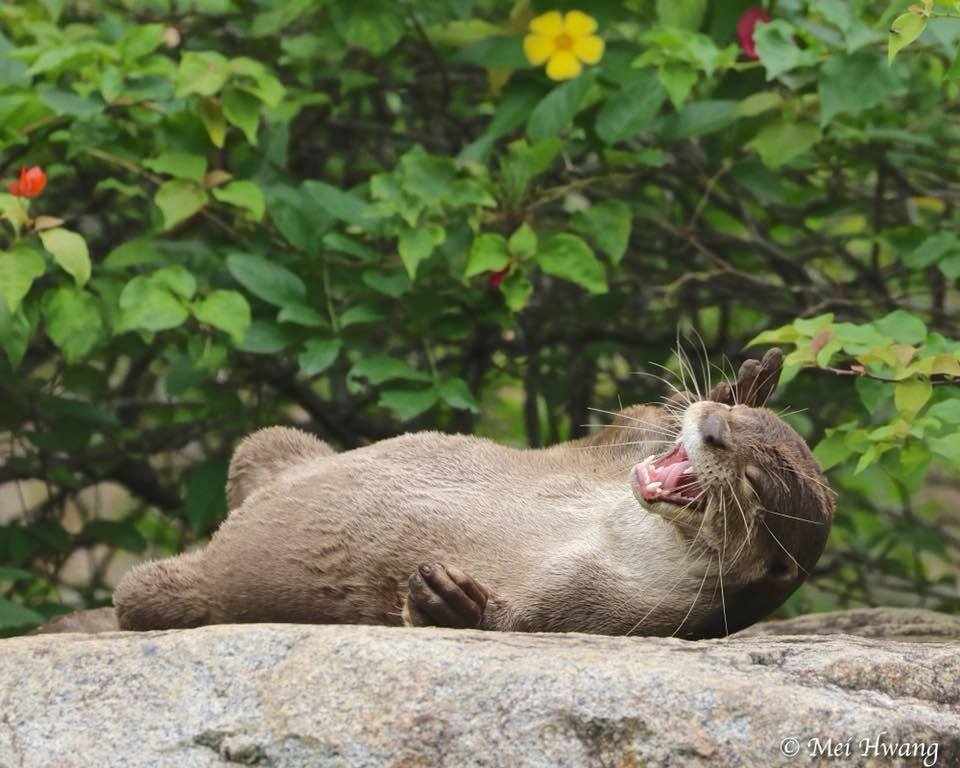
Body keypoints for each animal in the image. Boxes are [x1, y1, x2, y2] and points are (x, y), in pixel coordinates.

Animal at [103, 346, 832, 636]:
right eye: (738, 423)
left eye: (757, 479)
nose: (712, 427)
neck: (612, 538)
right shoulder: (607, 455)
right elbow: (629, 424)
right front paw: (751, 376)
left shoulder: (606, 611)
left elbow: (507, 623)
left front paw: (449, 601)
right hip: (272, 441)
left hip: (183, 588)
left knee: (144, 593)